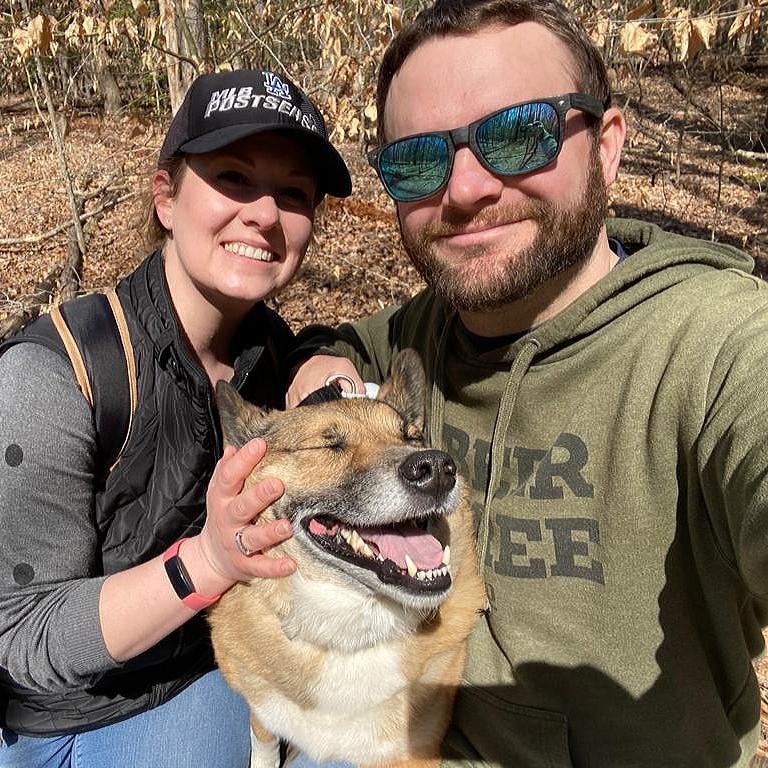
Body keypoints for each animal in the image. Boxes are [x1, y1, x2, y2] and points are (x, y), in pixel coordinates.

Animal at [208, 352, 486, 768]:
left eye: (411, 437)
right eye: (329, 446)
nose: (437, 469)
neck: (346, 631)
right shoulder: (262, 715)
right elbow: (265, 746)